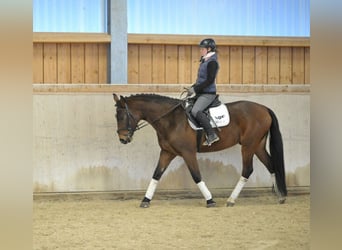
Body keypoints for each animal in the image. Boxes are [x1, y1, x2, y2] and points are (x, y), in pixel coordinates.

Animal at [113, 93, 286, 208]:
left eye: (121, 116)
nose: (123, 139)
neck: (171, 120)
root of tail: (264, 108)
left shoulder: (188, 153)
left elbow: (196, 175)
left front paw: (210, 200)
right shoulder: (167, 152)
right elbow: (156, 175)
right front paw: (145, 200)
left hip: (248, 146)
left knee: (247, 170)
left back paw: (231, 200)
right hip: (257, 145)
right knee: (271, 166)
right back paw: (280, 196)